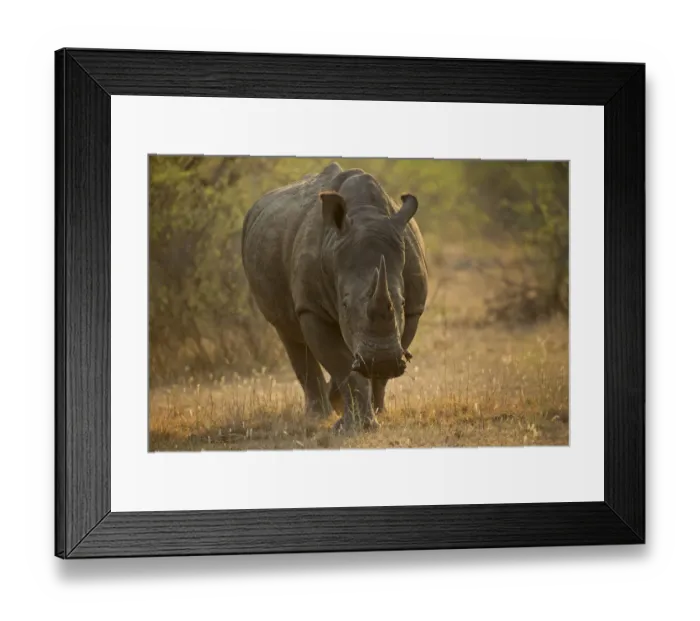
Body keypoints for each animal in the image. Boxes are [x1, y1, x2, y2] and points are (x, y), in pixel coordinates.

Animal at [241, 162, 428, 431]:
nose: (380, 360)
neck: (365, 214)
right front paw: (353, 425)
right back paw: (317, 415)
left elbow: (380, 363)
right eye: (345, 304)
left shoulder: (414, 308)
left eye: (401, 302)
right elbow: (340, 364)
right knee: (288, 332)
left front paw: (375, 412)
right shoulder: (312, 307)